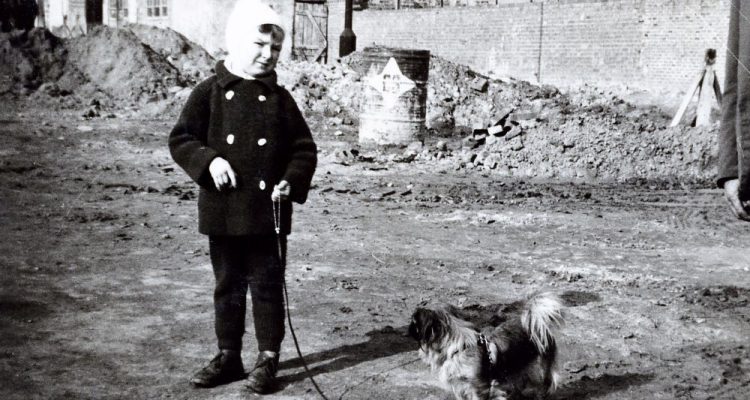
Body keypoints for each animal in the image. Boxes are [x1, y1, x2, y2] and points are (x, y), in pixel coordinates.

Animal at [412, 292, 564, 398]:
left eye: (414, 323)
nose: (409, 330)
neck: (458, 349)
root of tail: (536, 324)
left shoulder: (479, 388)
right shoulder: (461, 387)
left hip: (539, 370)